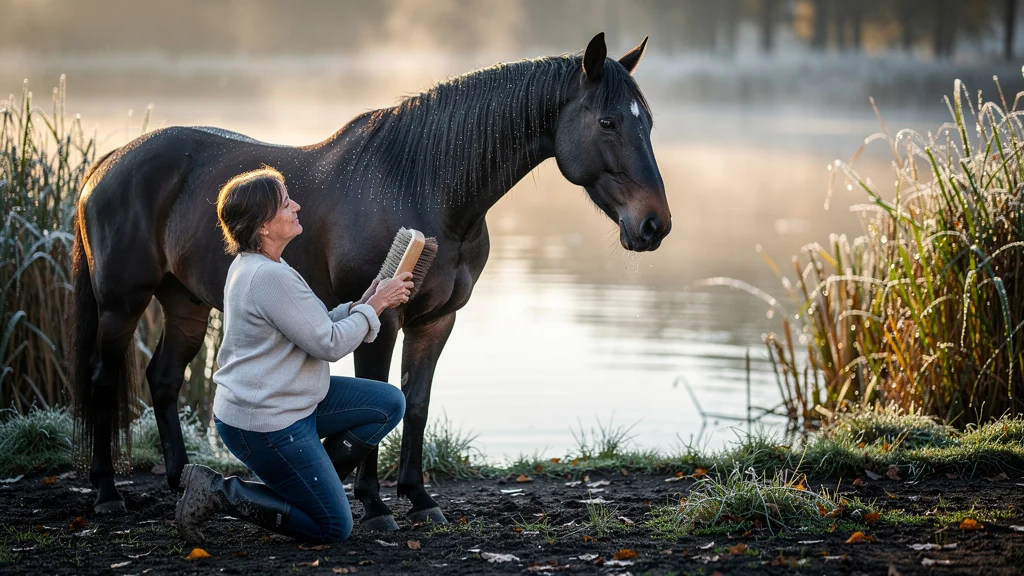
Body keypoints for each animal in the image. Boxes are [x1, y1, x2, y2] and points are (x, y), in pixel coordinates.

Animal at [67, 32, 671, 531]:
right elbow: (382, 394)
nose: (654, 225)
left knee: (164, 379)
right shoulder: (382, 319)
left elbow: (416, 402)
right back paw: (106, 494)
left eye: (647, 122)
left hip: (187, 303)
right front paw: (377, 505)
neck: (424, 185)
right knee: (104, 381)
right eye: (608, 122)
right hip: (121, 305)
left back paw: (180, 481)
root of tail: (108, 163)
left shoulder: (437, 321)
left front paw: (419, 498)